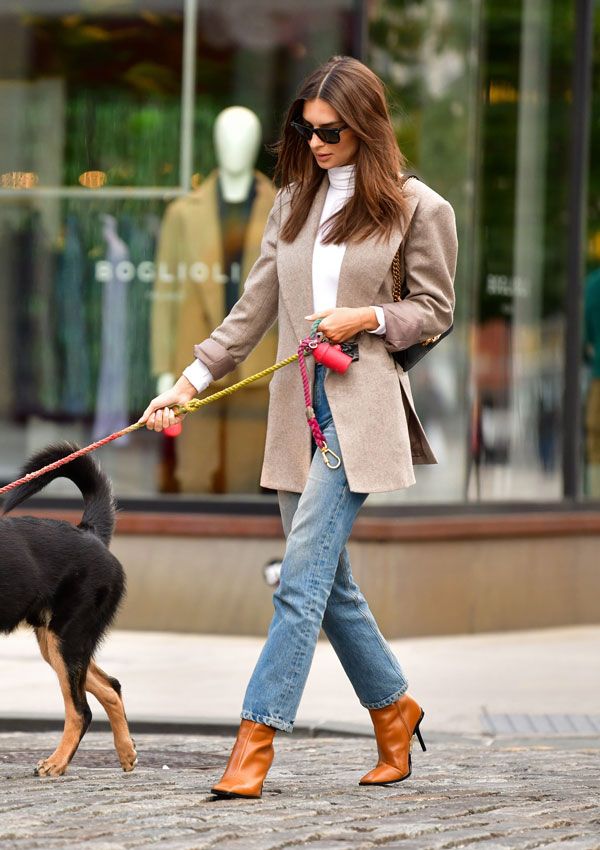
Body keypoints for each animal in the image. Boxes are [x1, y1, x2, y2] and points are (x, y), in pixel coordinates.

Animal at [0, 444, 137, 776]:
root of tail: (89, 532)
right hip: (59, 644)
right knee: (110, 687)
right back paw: (126, 752)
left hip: (67, 640)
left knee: (80, 710)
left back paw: (56, 762)